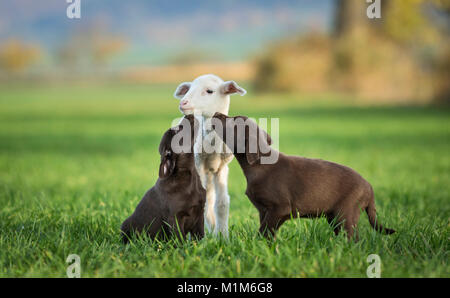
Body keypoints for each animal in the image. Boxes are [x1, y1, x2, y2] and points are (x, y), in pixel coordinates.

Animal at [174, 73, 248, 236]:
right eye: (190, 88)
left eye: (209, 91)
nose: (183, 103)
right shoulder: (198, 164)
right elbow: (203, 201)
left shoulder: (222, 168)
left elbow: (222, 203)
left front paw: (223, 236)